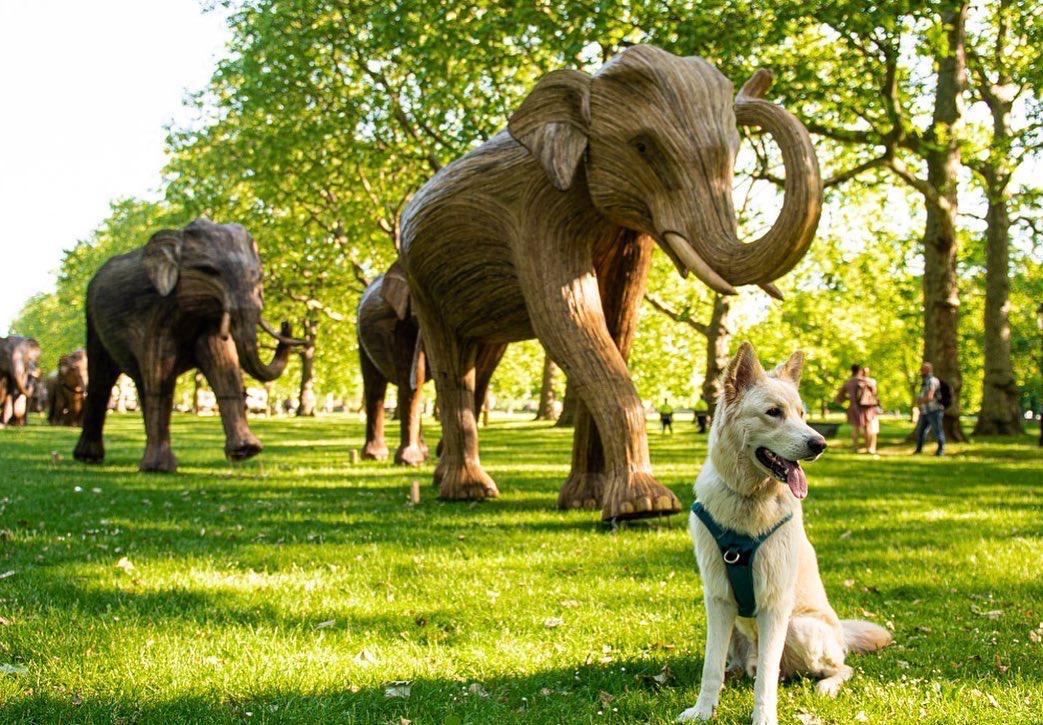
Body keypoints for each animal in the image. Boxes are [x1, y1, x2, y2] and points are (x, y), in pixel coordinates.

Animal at [73, 218, 304, 472]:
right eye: (209, 271)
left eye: (259, 275)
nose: (286, 324)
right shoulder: (155, 313)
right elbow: (161, 375)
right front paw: (159, 468)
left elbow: (225, 368)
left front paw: (245, 451)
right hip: (92, 322)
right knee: (102, 381)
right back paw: (90, 458)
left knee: (142, 383)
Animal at [357, 262, 506, 465]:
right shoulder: (404, 318)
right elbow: (414, 378)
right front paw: (409, 461)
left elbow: (480, 376)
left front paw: (441, 454)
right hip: (360, 337)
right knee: (375, 387)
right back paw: (376, 456)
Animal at [398, 45, 821, 520]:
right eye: (643, 146)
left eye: (734, 152)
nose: (755, 86)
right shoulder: (539, 208)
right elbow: (568, 320)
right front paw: (646, 507)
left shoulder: (630, 232)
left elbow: (618, 321)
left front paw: (588, 499)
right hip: (419, 277)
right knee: (450, 363)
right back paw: (468, 490)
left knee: (479, 365)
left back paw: (447, 480)